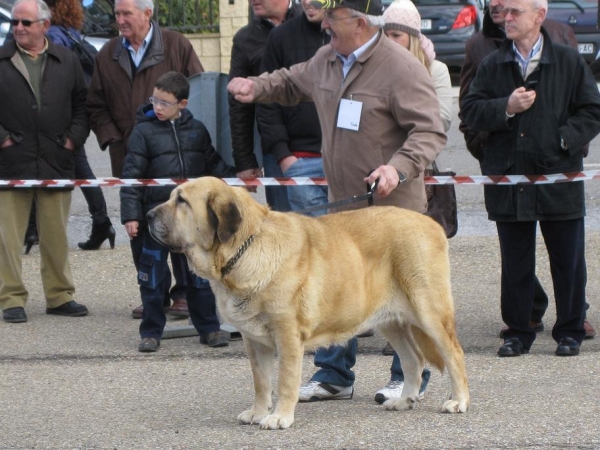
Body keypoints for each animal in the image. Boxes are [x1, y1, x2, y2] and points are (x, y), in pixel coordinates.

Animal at [146, 176, 468, 428]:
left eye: (182, 201)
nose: (147, 216)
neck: (244, 248)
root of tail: (431, 224)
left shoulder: (287, 334)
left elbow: (285, 380)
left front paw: (279, 417)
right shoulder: (254, 340)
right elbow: (261, 381)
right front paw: (258, 412)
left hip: (429, 311)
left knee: (454, 354)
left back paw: (458, 401)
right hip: (390, 321)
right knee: (413, 359)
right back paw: (403, 400)